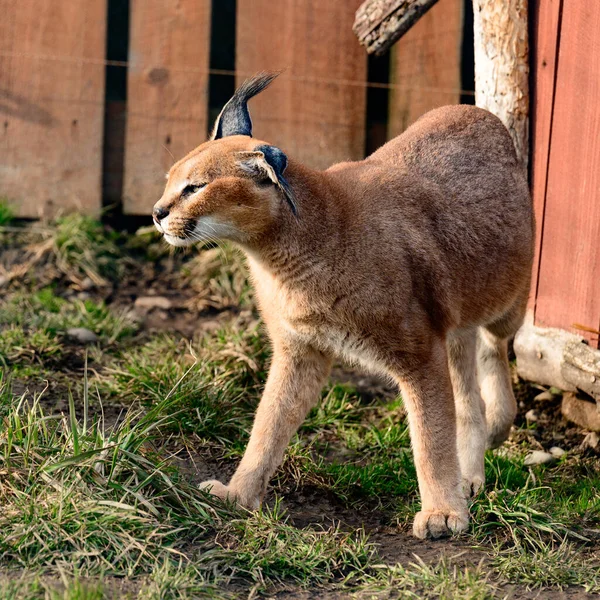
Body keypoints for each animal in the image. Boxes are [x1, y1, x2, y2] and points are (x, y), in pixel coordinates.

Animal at [151, 71, 536, 540]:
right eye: (170, 180)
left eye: (196, 187)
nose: (157, 212)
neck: (283, 257)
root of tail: (475, 111)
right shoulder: (301, 349)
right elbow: (268, 424)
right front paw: (238, 494)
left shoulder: (417, 351)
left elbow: (429, 437)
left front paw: (442, 513)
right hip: (453, 316)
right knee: (468, 378)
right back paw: (472, 473)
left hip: (507, 296)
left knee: (495, 344)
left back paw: (497, 424)